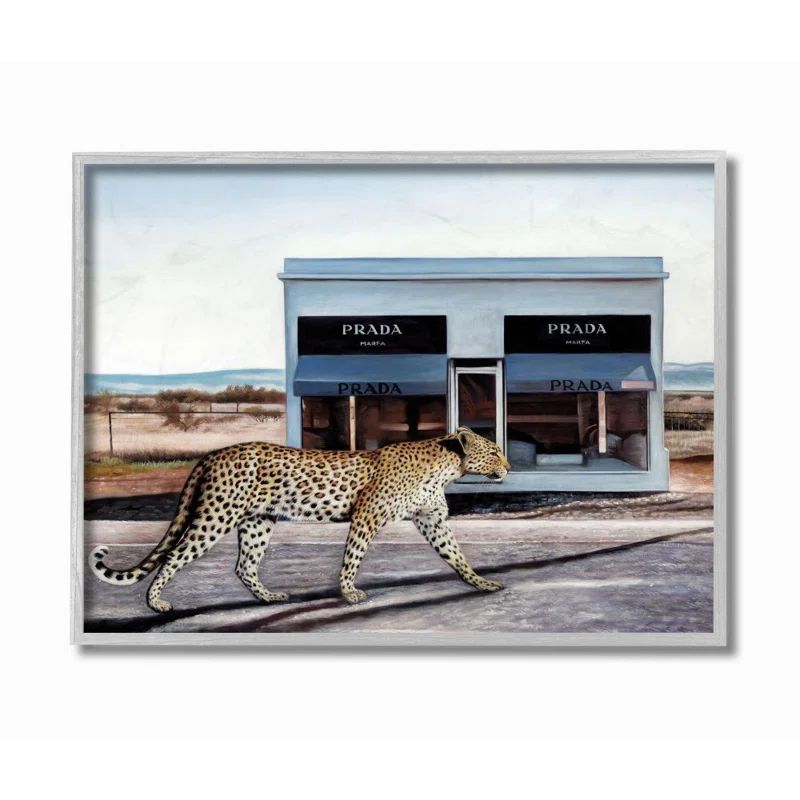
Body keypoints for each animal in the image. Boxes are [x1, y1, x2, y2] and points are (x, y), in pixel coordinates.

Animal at [89, 426, 511, 612]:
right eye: (493, 452)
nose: (507, 467)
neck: (447, 466)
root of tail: (213, 454)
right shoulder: (366, 515)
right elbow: (352, 558)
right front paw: (349, 593)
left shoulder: (432, 520)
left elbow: (456, 555)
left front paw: (482, 584)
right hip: (216, 516)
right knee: (176, 555)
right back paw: (155, 602)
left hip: (258, 521)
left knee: (244, 565)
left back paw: (268, 597)